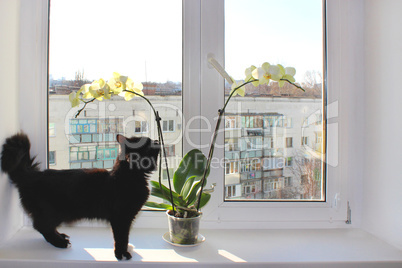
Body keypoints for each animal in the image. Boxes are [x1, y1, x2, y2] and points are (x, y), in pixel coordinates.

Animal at [0, 133, 160, 260]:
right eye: (148, 144)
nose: (157, 141)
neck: (130, 176)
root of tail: (31, 175)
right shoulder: (120, 217)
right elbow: (122, 238)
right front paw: (121, 253)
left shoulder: (126, 217)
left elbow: (124, 238)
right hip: (52, 212)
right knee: (41, 226)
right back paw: (59, 242)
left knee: (46, 227)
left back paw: (61, 236)